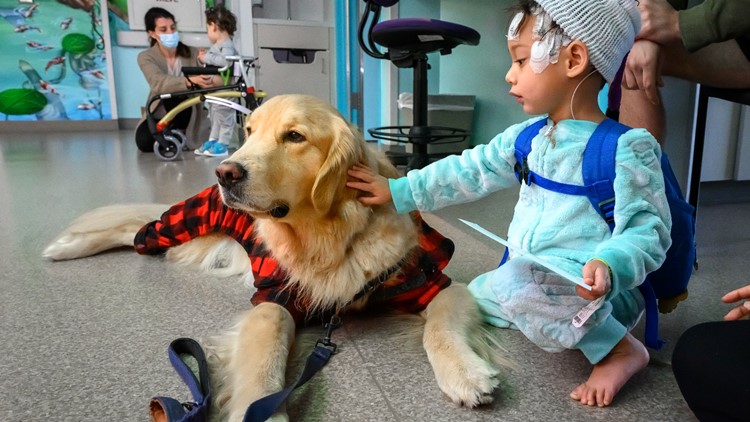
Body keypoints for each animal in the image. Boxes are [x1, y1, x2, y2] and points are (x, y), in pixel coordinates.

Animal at [44, 94, 508, 420]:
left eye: (294, 136)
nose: (225, 173)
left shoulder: (432, 282)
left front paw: (466, 374)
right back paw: (64, 248)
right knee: (132, 228)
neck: (327, 235)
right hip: (181, 230)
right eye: (248, 131)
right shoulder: (274, 301)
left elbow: (440, 328)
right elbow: (265, 361)